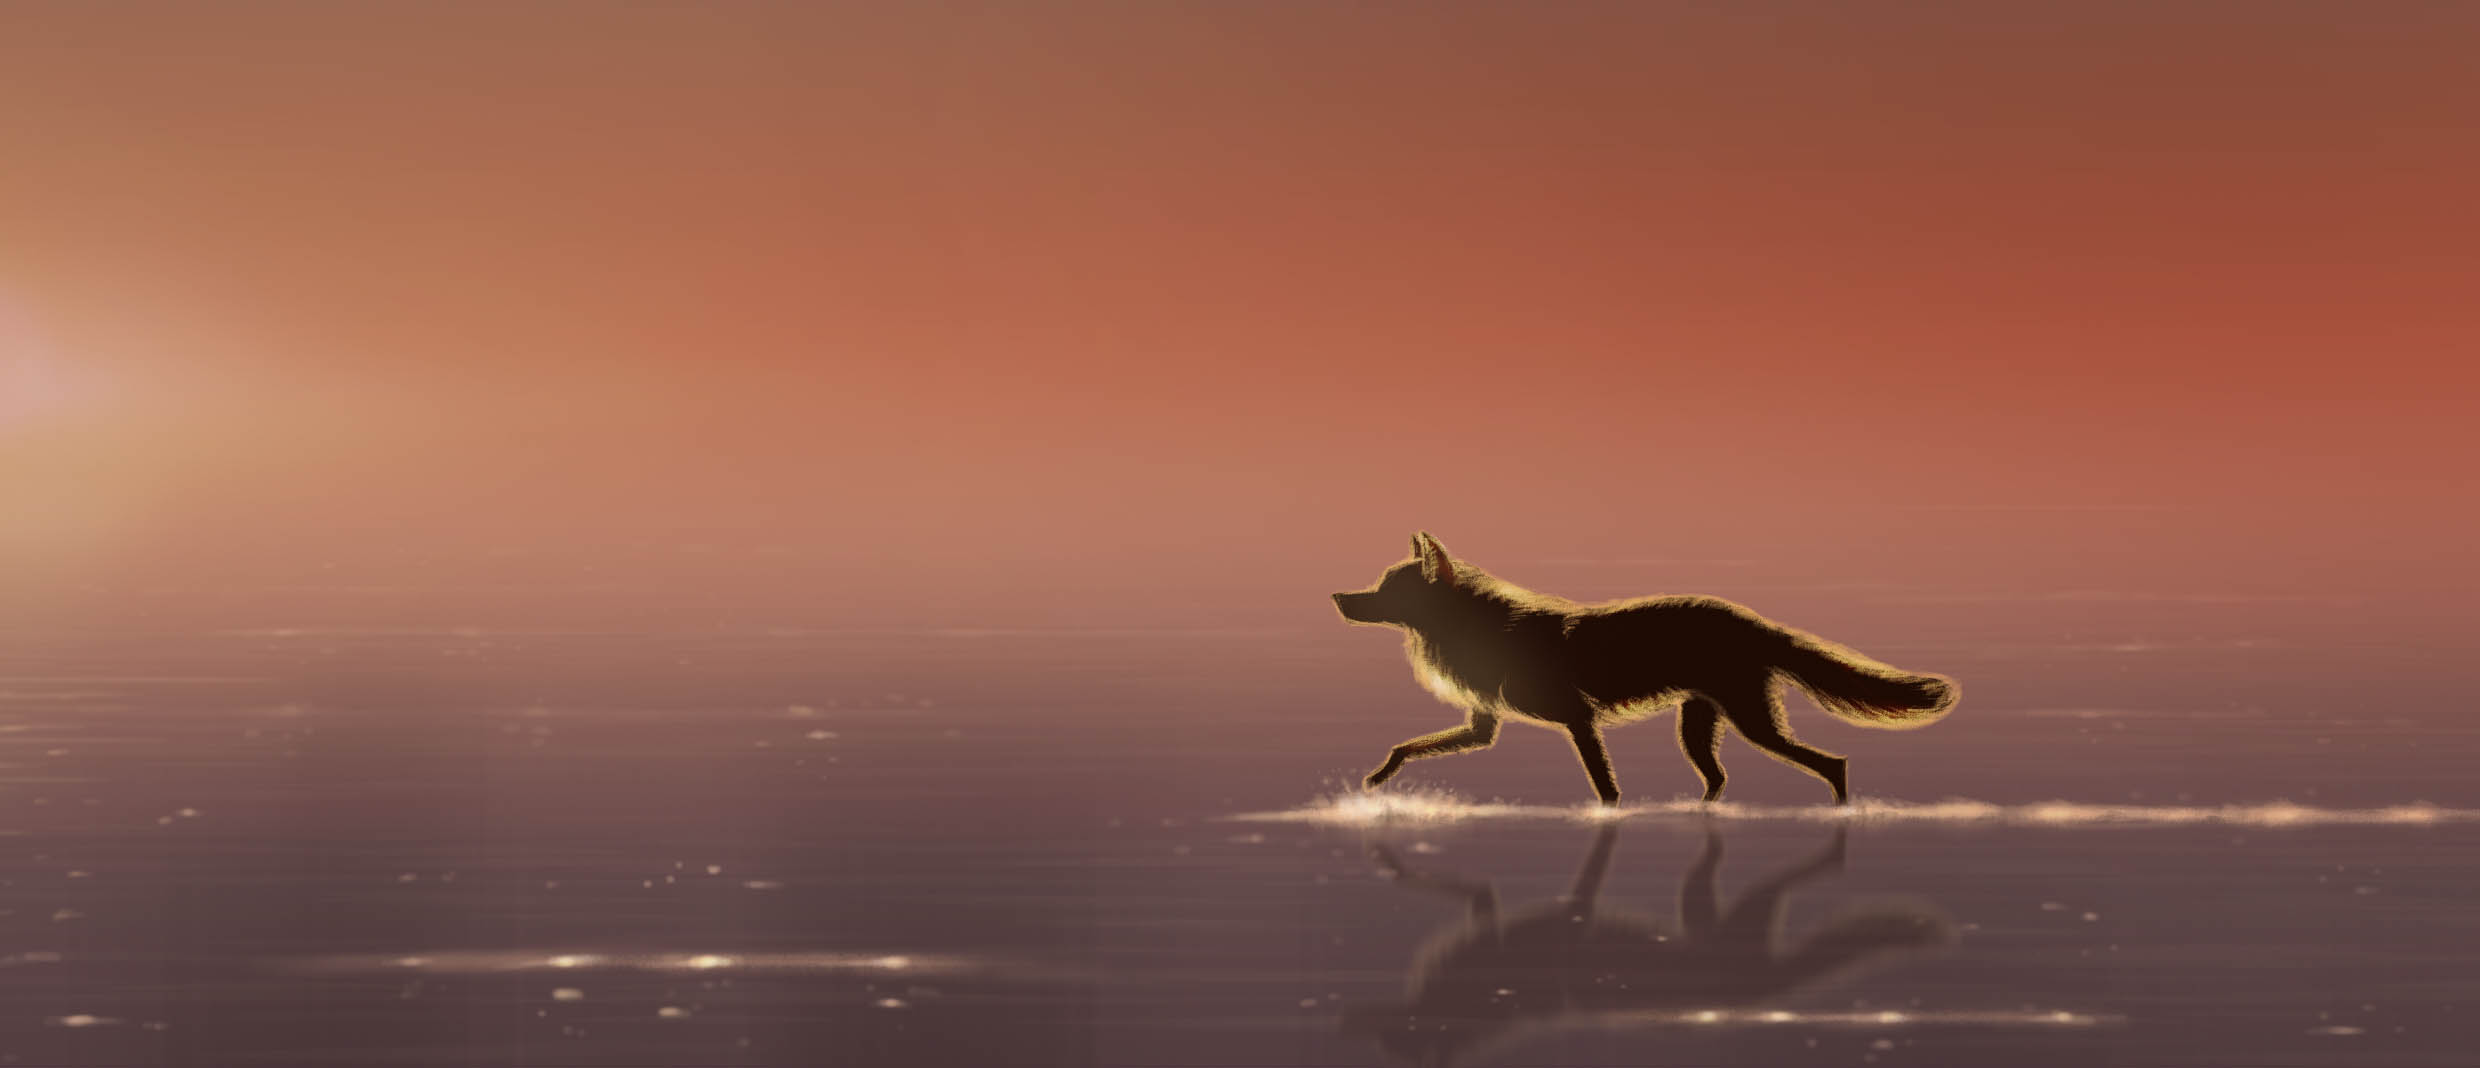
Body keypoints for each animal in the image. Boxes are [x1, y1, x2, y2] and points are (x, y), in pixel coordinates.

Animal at [1331, 533, 1957, 805]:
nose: (1338, 598)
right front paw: (1376, 782)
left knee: (1832, 765)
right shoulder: (1483, 727)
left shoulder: (1577, 721)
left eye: (1386, 590)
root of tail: (1754, 621)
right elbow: (1405, 748)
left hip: (1752, 724)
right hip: (1699, 728)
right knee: (1720, 779)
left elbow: (1606, 786)